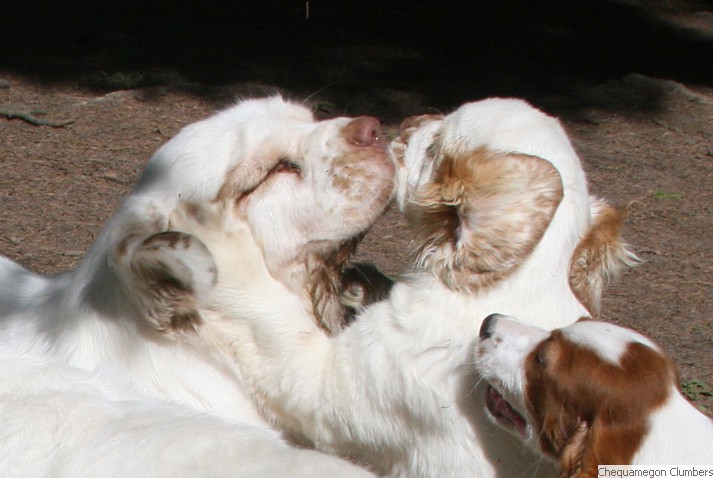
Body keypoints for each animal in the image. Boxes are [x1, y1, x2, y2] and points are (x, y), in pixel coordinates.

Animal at [174, 98, 640, 478]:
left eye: (435, 147)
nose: (411, 121)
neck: (524, 275)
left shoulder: (337, 383)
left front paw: (221, 242)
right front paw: (359, 285)